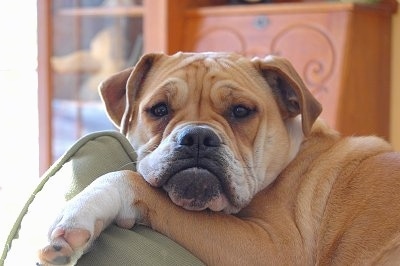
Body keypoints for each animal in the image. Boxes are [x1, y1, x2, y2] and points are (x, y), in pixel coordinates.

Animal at [36, 52, 400, 266]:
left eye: (241, 111)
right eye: (159, 109)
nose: (198, 137)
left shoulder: (271, 246)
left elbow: (132, 180)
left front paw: (78, 216)